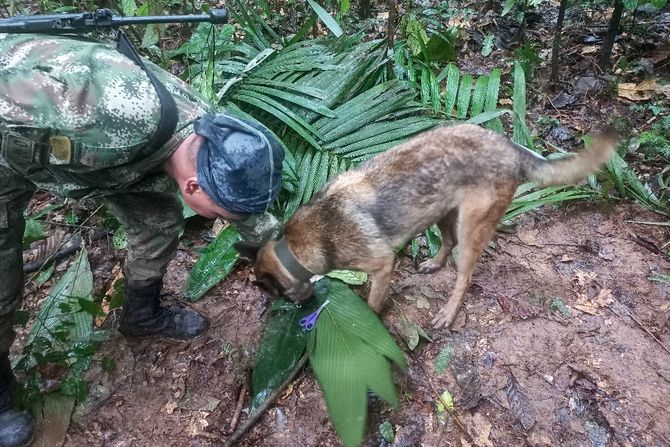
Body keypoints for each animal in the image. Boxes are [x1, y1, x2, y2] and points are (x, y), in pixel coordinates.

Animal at [238, 123, 620, 328]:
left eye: (275, 294)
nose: (297, 310)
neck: (296, 247)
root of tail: (509, 146)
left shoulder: (382, 265)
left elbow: (373, 302)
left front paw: (370, 320)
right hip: (441, 212)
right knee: (446, 242)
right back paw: (434, 264)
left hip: (470, 228)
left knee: (464, 275)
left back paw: (449, 312)